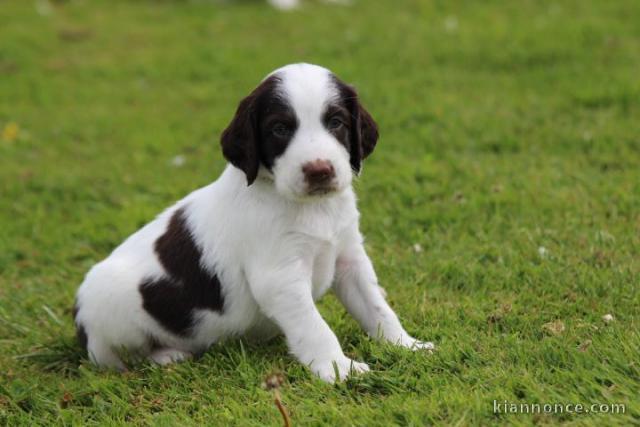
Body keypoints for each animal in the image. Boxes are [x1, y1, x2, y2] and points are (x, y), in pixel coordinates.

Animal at [75, 61, 436, 382]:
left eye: (336, 122)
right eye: (279, 129)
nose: (319, 170)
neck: (310, 207)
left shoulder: (349, 257)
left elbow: (377, 308)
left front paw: (405, 345)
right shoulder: (280, 278)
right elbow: (315, 327)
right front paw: (338, 369)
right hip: (113, 313)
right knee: (119, 357)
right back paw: (167, 354)